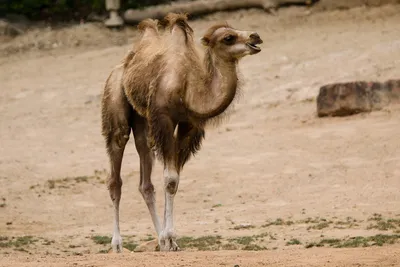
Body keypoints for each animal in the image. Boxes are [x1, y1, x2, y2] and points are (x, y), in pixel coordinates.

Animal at [100, 13, 262, 253]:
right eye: (228, 38)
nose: (255, 37)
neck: (188, 90)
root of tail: (123, 63)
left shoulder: (188, 125)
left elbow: (174, 179)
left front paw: (170, 241)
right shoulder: (164, 120)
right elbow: (169, 179)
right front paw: (169, 238)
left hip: (142, 120)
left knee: (145, 178)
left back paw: (158, 240)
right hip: (115, 101)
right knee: (115, 174)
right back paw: (118, 245)